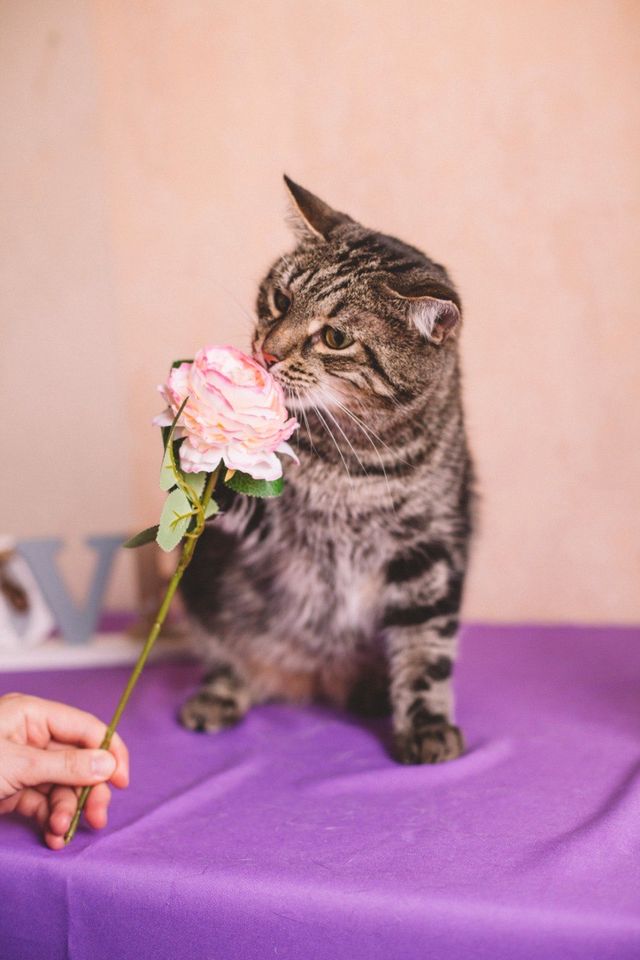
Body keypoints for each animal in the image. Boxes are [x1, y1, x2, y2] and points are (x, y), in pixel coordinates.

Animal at [178, 176, 472, 764]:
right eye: (281, 299)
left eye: (335, 338)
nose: (266, 352)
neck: (356, 464)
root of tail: (310, 680)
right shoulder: (275, 529)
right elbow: (233, 492)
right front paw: (201, 443)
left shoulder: (430, 550)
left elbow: (427, 650)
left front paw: (426, 724)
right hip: (201, 587)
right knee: (226, 657)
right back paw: (222, 693)